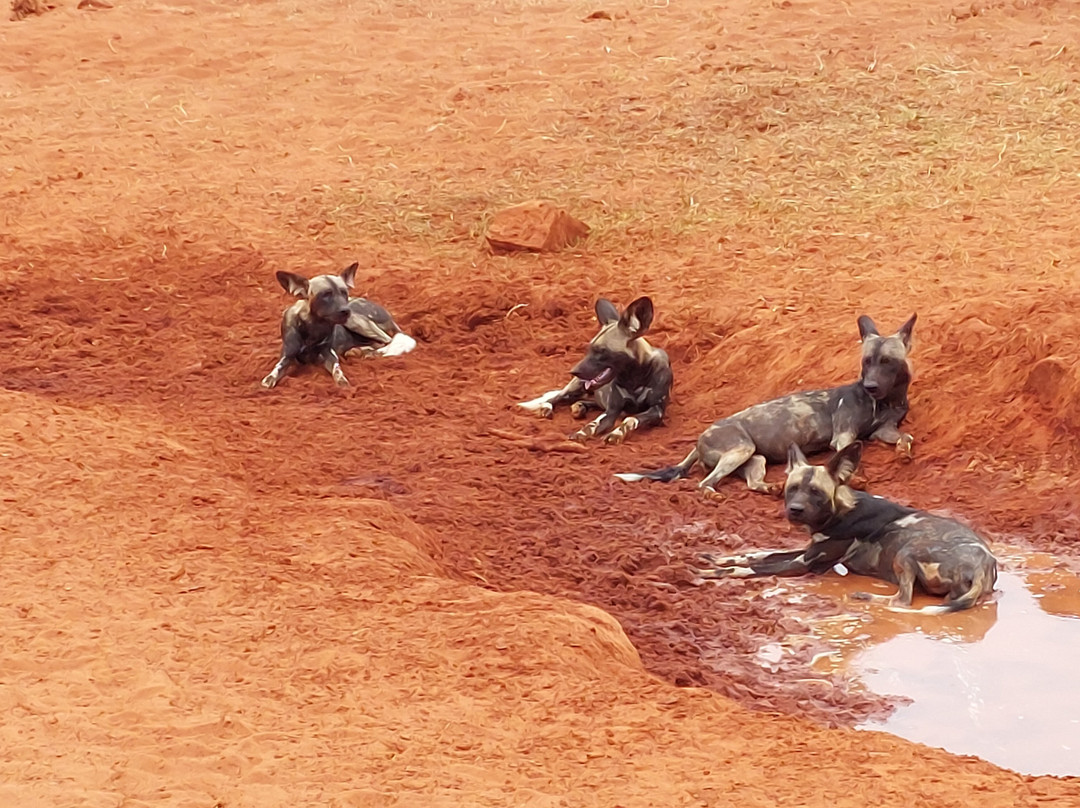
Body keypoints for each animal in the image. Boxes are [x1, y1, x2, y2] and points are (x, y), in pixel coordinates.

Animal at [259, 262, 414, 388]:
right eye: (325, 294)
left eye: (344, 292)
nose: (346, 310)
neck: (314, 327)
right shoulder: (287, 356)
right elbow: (273, 373)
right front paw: (267, 383)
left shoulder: (329, 354)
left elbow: (337, 371)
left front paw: (342, 383)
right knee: (379, 342)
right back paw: (360, 351)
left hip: (354, 321)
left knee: (389, 340)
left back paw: (370, 353)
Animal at [518, 295, 669, 445]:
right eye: (589, 349)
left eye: (601, 350)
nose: (573, 371)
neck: (635, 379)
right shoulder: (612, 410)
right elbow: (593, 424)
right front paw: (580, 434)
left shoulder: (656, 411)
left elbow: (630, 419)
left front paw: (616, 434)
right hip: (574, 388)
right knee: (555, 398)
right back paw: (547, 408)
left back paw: (579, 407)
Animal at [617, 313, 911, 492]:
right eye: (867, 362)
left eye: (887, 361)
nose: (870, 386)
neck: (884, 401)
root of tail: (699, 439)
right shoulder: (843, 437)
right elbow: (852, 459)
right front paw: (858, 478)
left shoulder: (883, 430)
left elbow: (905, 437)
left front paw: (903, 451)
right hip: (740, 450)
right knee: (705, 483)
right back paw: (712, 494)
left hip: (754, 457)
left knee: (752, 483)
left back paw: (771, 488)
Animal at [691, 442, 993, 613]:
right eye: (792, 489)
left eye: (815, 492)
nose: (795, 510)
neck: (838, 513)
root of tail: (984, 565)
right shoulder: (805, 552)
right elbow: (756, 554)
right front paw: (715, 558)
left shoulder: (803, 564)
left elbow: (747, 568)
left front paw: (709, 573)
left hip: (906, 552)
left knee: (903, 603)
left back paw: (865, 596)